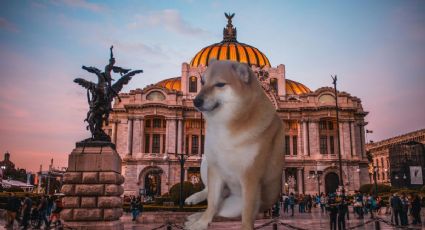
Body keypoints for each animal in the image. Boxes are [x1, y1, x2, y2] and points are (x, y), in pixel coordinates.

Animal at [184, 60, 284, 229]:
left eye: (220, 84)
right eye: (202, 82)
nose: (195, 101)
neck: (229, 124)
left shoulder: (251, 176)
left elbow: (247, 213)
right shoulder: (215, 169)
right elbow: (211, 202)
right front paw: (201, 223)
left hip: (234, 205)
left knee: (221, 210)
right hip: (206, 162)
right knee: (210, 196)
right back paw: (195, 209)